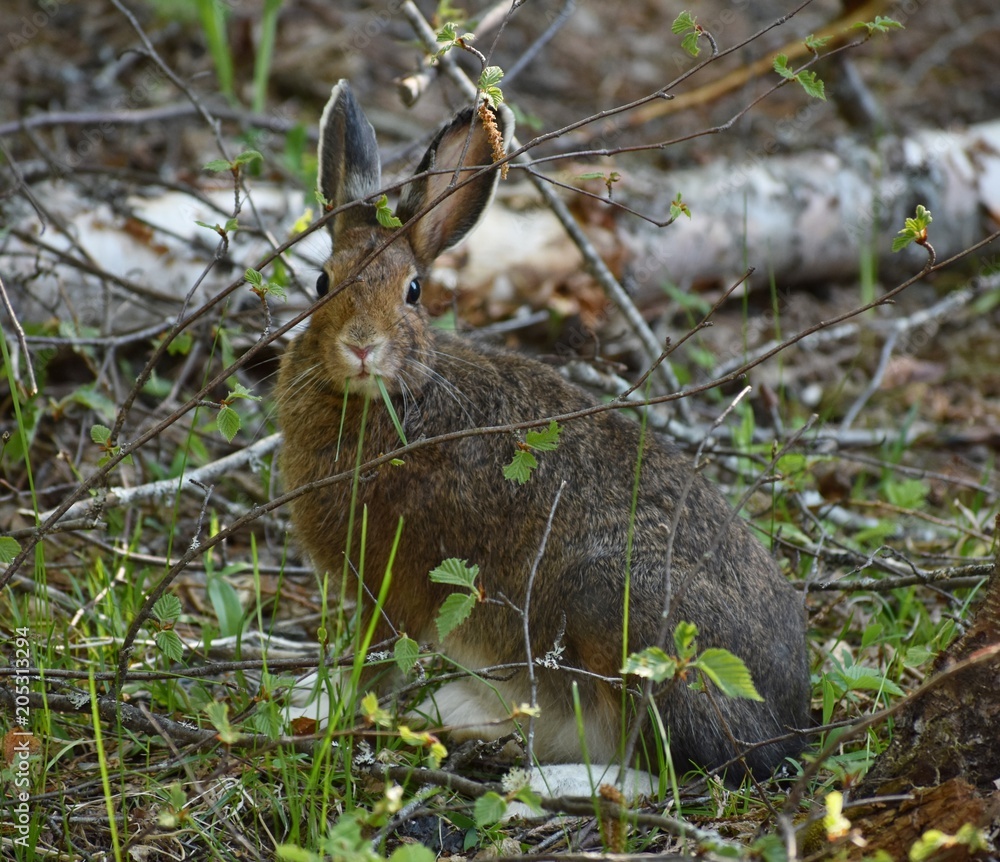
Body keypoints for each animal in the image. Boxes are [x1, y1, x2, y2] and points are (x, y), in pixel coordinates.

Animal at [277, 80, 810, 779]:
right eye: (322, 283)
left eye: (413, 291)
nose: (361, 347)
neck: (395, 399)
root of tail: (789, 728)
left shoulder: (392, 591)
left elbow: (372, 663)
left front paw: (320, 711)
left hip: (617, 615)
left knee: (656, 763)